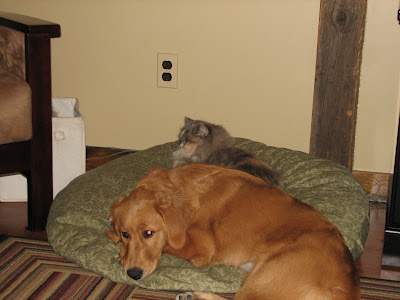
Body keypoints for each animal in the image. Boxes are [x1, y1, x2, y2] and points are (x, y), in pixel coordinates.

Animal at [105, 164, 360, 300]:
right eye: (125, 234)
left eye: (149, 233)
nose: (133, 274)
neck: (177, 189)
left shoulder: (201, 250)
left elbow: (169, 245)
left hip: (262, 281)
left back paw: (195, 295)